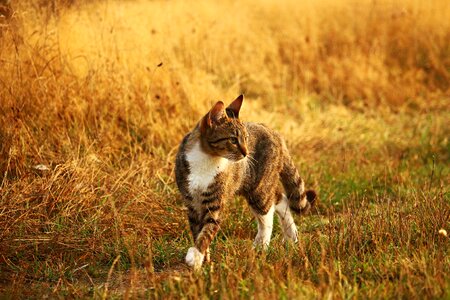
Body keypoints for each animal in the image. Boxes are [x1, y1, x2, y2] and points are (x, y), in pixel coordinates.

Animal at [174, 95, 314, 268]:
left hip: (259, 187)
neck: (206, 159)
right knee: (281, 199)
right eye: (233, 140)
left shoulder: (215, 202)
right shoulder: (192, 202)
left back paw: (261, 246)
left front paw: (196, 256)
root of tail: (275, 133)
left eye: (246, 138)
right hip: (259, 185)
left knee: (268, 214)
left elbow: (207, 230)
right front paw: (204, 259)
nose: (247, 153)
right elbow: (197, 230)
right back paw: (291, 236)